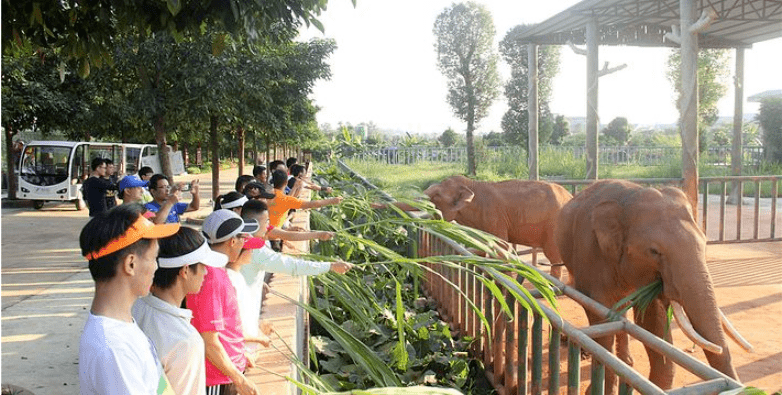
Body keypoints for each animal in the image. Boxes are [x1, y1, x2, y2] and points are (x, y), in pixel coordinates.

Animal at [422, 175, 576, 276]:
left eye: (436, 196)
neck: (471, 185)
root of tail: (570, 196)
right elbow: (480, 246)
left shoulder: (494, 215)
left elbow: (501, 248)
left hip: (554, 226)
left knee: (553, 257)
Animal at [556, 181, 752, 394]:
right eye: (654, 251)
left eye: (705, 242)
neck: (629, 198)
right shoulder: (590, 254)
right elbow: (600, 319)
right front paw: (597, 388)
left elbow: (651, 322)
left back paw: (627, 362)